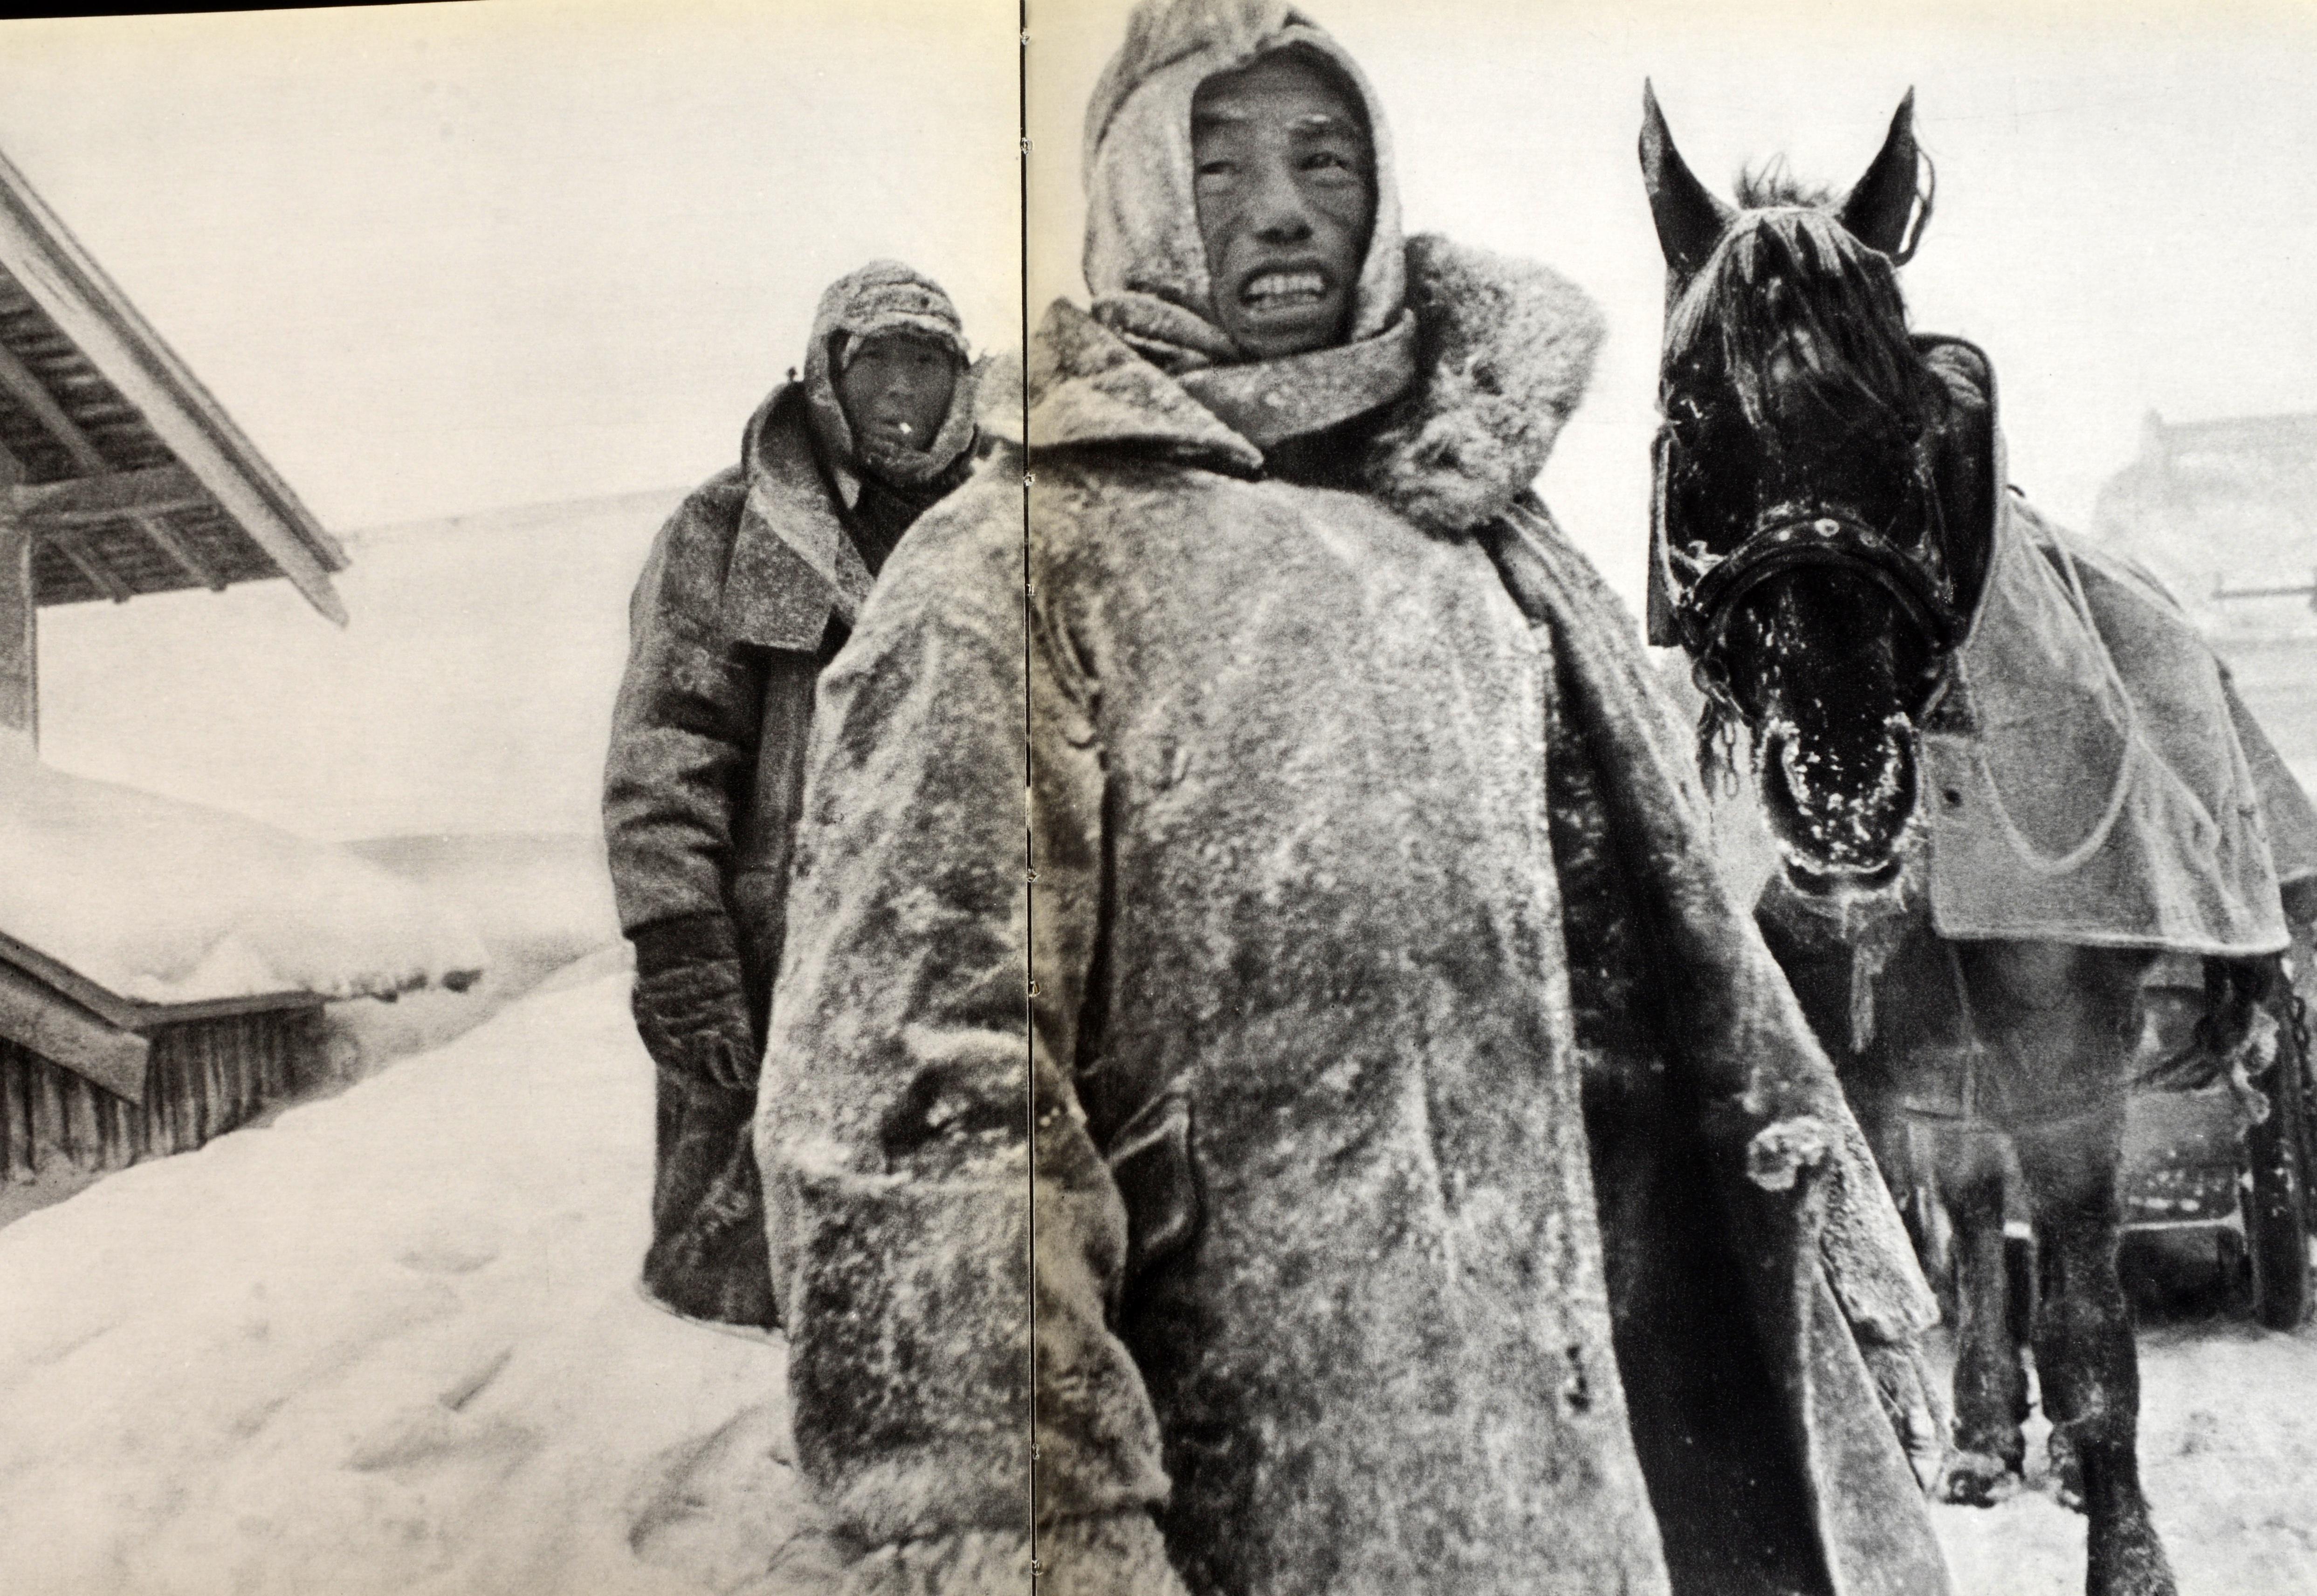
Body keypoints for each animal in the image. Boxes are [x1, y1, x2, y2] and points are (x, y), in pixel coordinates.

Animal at [1631, 84, 2280, 1594]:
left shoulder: (2067, 1049)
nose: (1843, 789)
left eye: (1923, 419)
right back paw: (1986, 1433)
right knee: (1981, 1222)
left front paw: (2126, 1550)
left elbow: (2093, 1327)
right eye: (1688, 419)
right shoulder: (1839, 1059)